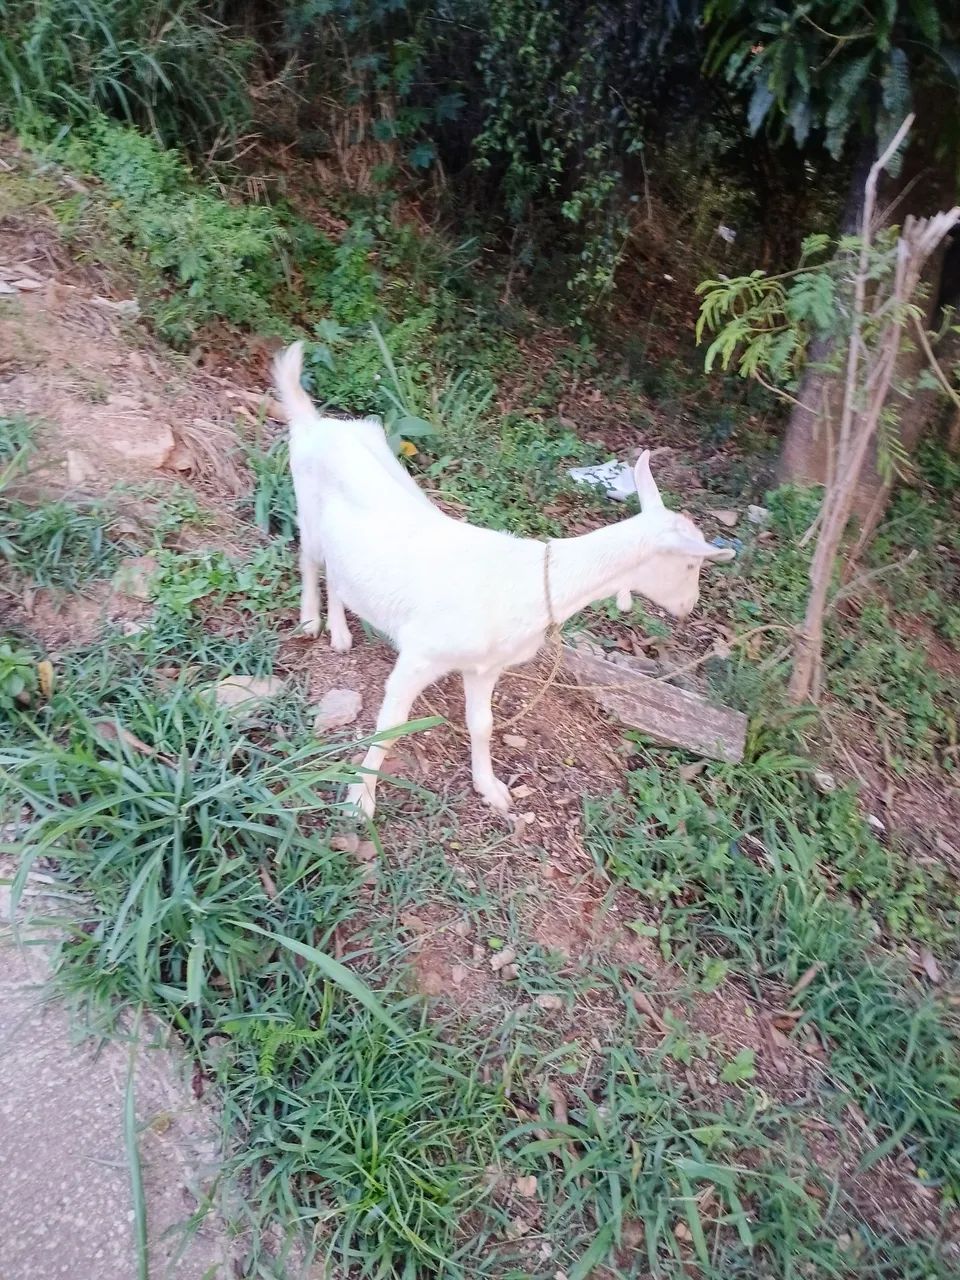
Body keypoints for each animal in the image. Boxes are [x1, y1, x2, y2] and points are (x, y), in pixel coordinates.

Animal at [274, 341, 735, 819]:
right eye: (691, 565)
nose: (689, 607)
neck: (526, 583)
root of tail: (315, 424)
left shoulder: (485, 667)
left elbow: (482, 723)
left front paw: (490, 788)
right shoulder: (420, 654)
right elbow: (390, 725)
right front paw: (361, 801)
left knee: (338, 572)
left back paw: (341, 633)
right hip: (307, 507)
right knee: (309, 559)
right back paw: (311, 622)